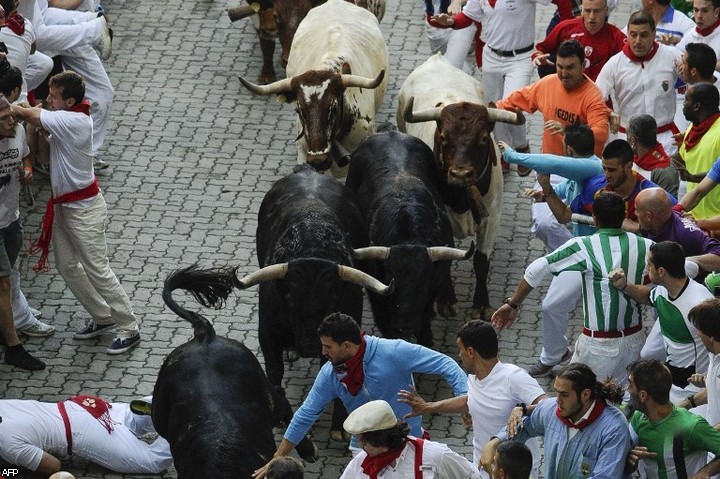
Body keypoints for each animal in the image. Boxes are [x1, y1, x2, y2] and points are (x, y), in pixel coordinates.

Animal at [400, 54, 524, 320]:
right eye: (443, 138)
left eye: (483, 138)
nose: (460, 174)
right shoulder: (440, 220)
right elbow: (444, 254)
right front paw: (447, 301)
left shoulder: (492, 218)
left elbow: (481, 260)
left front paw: (481, 304)